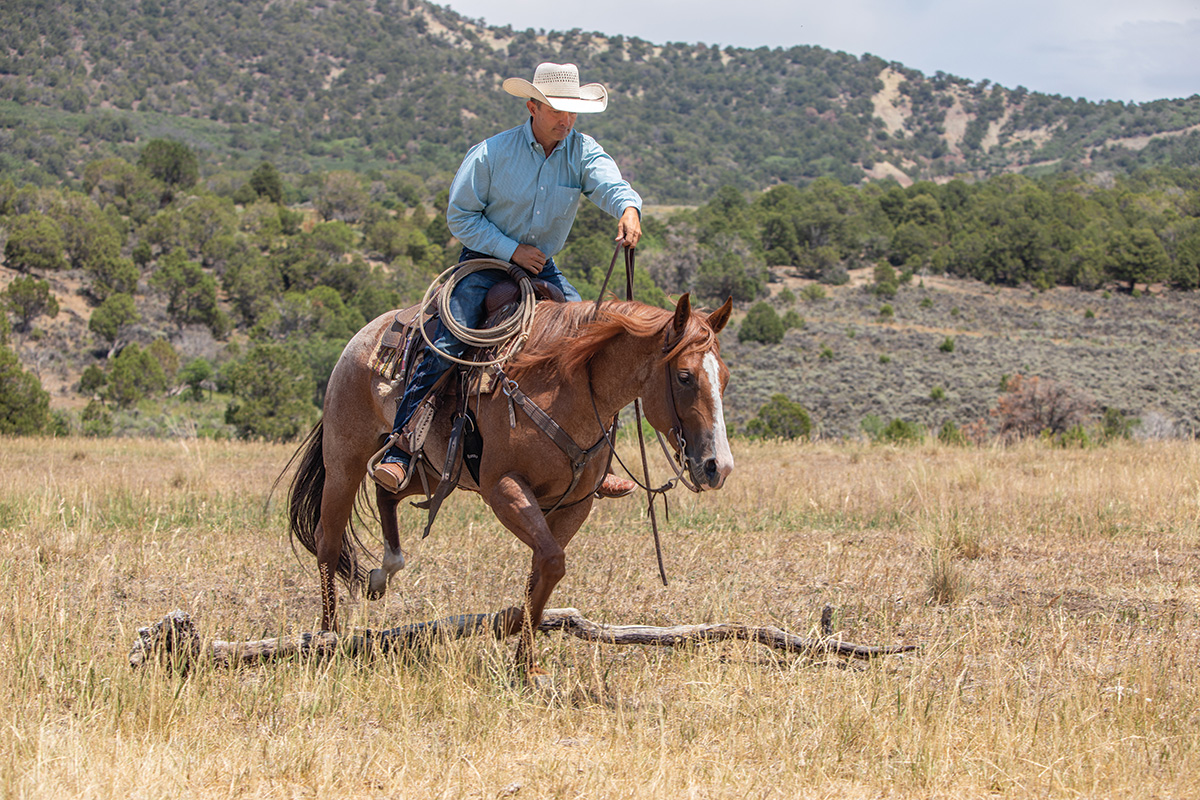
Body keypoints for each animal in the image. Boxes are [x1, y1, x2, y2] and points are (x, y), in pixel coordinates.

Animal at [285, 292, 734, 671]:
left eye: (725, 378)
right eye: (684, 377)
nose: (719, 466)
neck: (567, 385)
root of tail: (362, 338)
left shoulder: (575, 503)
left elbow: (544, 568)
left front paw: (524, 657)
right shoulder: (504, 489)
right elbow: (550, 562)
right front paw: (514, 632)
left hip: (429, 468)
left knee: (386, 491)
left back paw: (383, 572)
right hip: (345, 460)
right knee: (328, 540)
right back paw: (327, 639)